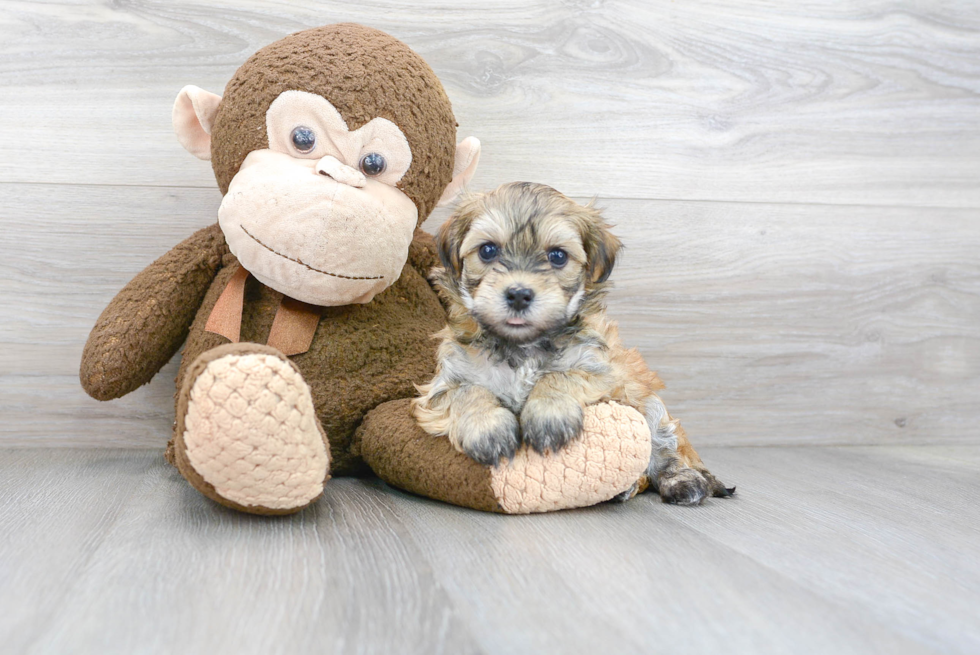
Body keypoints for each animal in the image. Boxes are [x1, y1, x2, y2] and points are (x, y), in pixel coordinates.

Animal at [410, 182, 732, 504]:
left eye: (558, 256)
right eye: (488, 250)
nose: (518, 294)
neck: (523, 346)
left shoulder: (603, 374)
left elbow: (560, 375)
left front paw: (548, 414)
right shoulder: (443, 385)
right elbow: (469, 392)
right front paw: (487, 428)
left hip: (651, 407)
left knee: (664, 450)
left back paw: (681, 480)